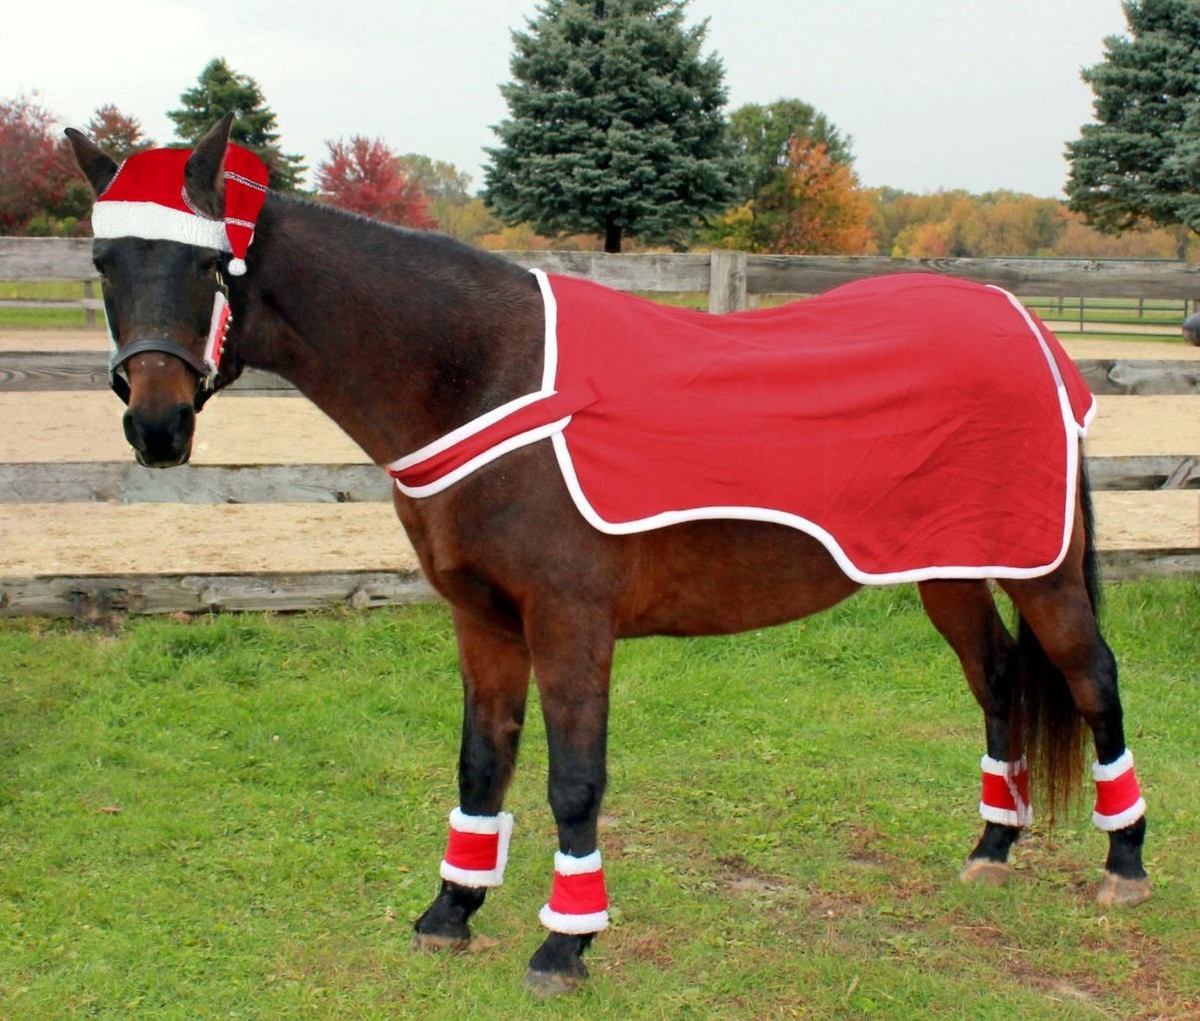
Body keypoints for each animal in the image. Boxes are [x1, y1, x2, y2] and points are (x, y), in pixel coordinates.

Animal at [66, 115, 1151, 996]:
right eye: (107, 264)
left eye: (206, 267)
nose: (156, 425)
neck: (487, 376)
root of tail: (1027, 327)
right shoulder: (484, 620)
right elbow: (482, 761)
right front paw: (451, 910)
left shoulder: (570, 620)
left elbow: (574, 779)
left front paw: (564, 943)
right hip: (945, 571)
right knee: (1000, 678)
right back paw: (993, 844)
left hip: (1042, 570)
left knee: (1092, 678)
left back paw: (1125, 864)